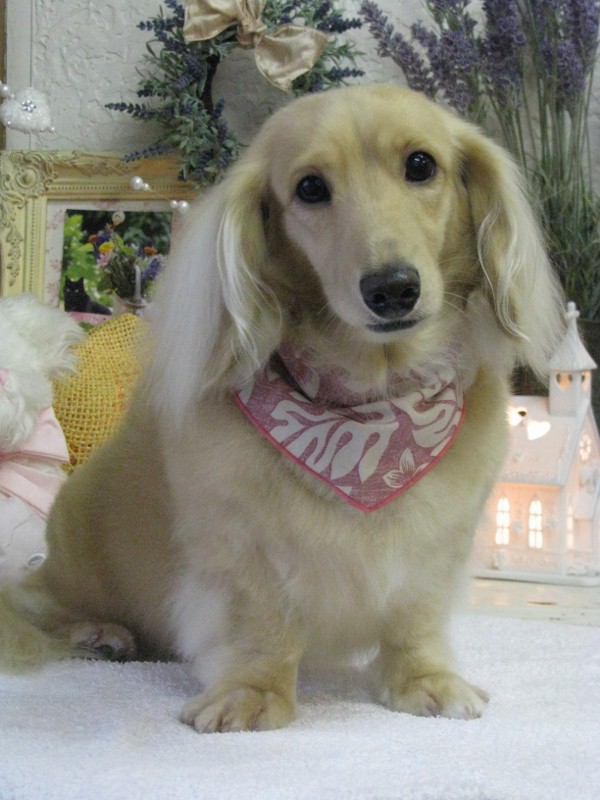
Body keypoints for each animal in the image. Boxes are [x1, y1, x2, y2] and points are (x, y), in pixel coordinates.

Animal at [0, 86, 563, 732]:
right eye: (310, 188)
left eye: (421, 164)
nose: (393, 289)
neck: (371, 409)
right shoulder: (242, 548)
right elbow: (262, 626)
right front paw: (252, 693)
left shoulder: (436, 547)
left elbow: (414, 618)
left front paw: (426, 680)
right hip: (72, 558)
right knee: (35, 608)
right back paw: (97, 633)